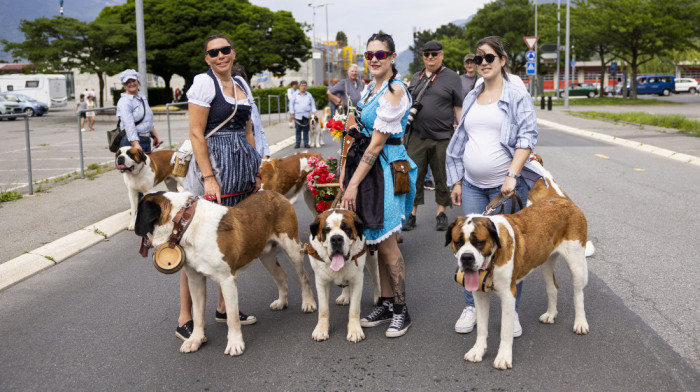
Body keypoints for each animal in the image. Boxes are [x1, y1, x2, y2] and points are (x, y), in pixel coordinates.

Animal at [133, 190, 318, 356]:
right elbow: (198, 314)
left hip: (292, 248)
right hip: (266, 256)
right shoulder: (195, 280)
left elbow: (232, 317)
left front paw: (235, 344)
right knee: (280, 276)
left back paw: (308, 303)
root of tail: (275, 194)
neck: (184, 221)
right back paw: (281, 302)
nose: (134, 228)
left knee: (303, 276)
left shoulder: (227, 280)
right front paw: (195, 340)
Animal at [308, 210, 380, 342]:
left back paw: (378, 296)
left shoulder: (357, 280)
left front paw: (354, 331)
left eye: (346, 229)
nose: (336, 238)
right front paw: (321, 330)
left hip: (372, 257)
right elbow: (323, 309)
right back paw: (345, 296)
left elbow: (354, 309)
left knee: (376, 277)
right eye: (326, 230)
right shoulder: (321, 281)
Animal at [446, 198, 588, 370]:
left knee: (578, 294)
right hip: (545, 262)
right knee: (552, 288)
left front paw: (503, 357)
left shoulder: (508, 295)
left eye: (480, 242)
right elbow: (481, 326)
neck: (493, 257)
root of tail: (566, 200)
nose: (467, 258)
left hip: (576, 263)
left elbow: (505, 330)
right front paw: (478, 351)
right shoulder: (479, 295)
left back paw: (580, 323)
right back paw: (550, 314)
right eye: (458, 242)